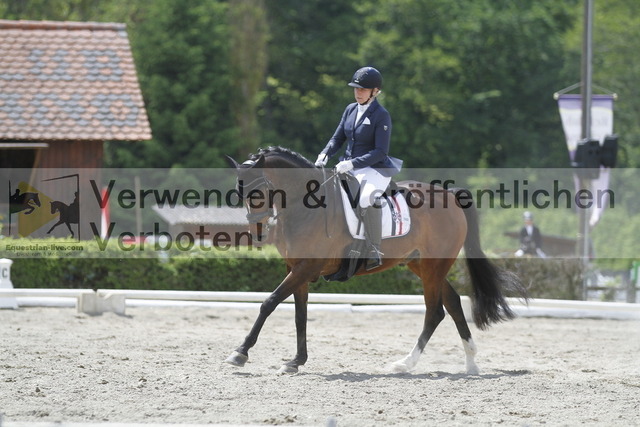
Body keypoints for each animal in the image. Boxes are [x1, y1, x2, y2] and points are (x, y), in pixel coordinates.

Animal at [224, 146, 526, 374]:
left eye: (259, 191)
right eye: (240, 193)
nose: (258, 231)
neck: (306, 205)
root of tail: (449, 195)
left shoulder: (306, 267)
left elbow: (269, 302)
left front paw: (240, 353)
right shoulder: (296, 268)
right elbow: (300, 315)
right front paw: (296, 361)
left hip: (433, 266)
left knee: (435, 311)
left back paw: (405, 364)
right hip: (422, 265)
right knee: (452, 303)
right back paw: (470, 362)